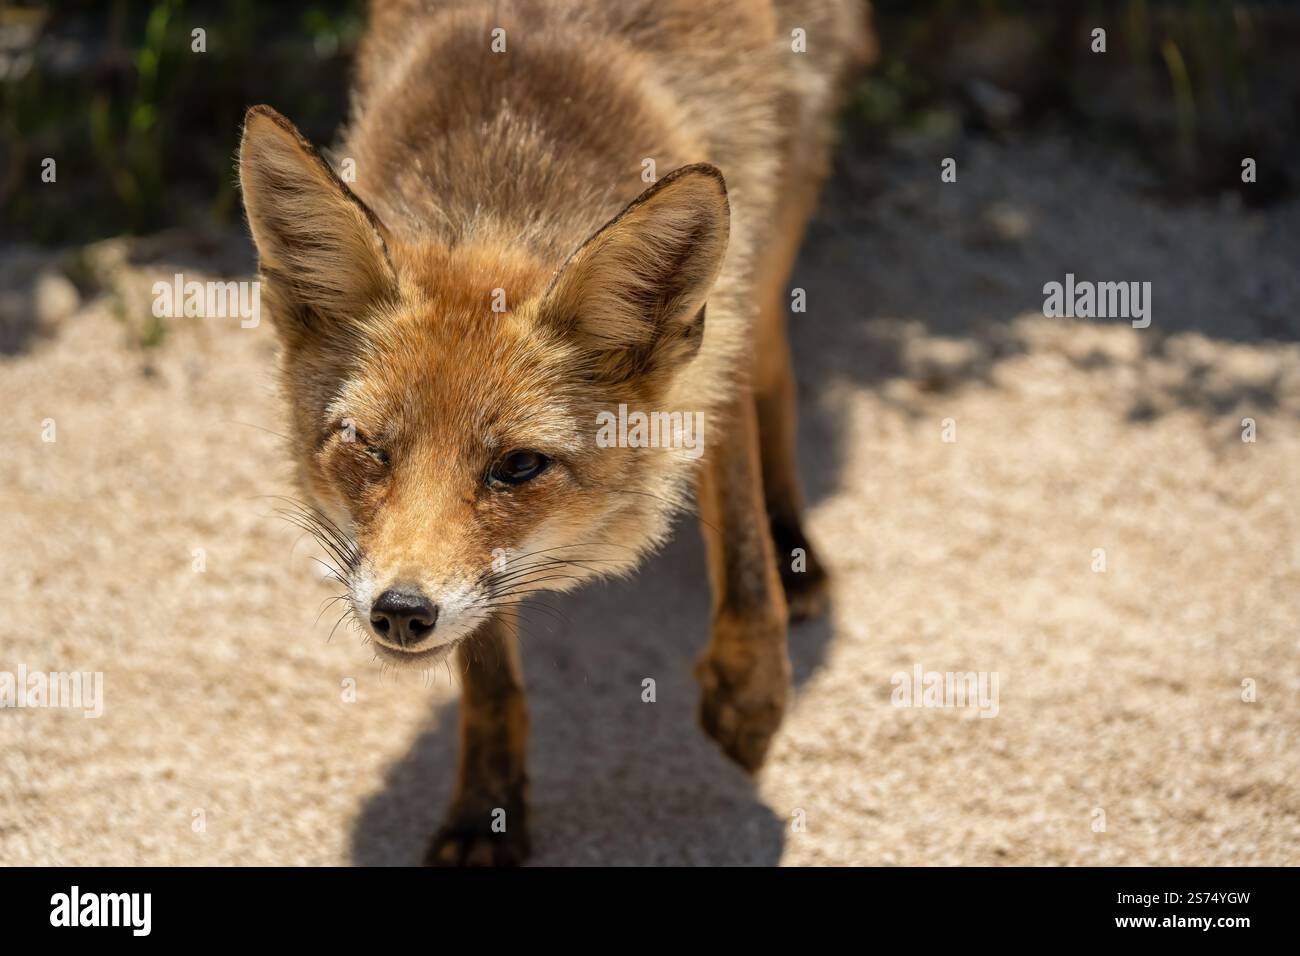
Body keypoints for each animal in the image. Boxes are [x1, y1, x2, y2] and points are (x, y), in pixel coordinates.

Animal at [239, 0, 873, 865]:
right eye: (366, 445)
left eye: (518, 466)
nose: (400, 611)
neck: (509, 151)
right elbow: (491, 678)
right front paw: (488, 810)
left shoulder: (709, 360)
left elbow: (742, 565)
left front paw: (750, 704)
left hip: (783, 186)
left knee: (774, 363)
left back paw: (792, 548)